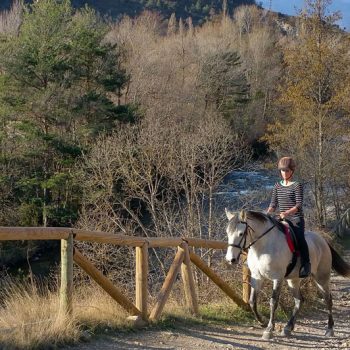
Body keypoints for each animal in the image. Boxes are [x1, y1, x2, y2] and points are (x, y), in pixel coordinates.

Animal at [224, 209, 350, 340]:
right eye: (228, 233)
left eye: (240, 233)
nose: (230, 259)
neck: (262, 247)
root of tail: (322, 241)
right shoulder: (257, 277)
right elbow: (252, 301)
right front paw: (263, 322)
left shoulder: (277, 278)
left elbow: (273, 302)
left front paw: (269, 329)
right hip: (293, 280)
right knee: (299, 300)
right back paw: (288, 327)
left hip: (321, 277)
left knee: (328, 299)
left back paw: (329, 329)